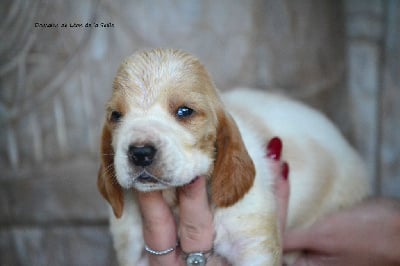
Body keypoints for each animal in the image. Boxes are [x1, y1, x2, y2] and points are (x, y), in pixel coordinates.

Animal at [98, 48, 370, 264]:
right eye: (116, 115)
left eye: (185, 111)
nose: (140, 152)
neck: (173, 202)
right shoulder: (132, 251)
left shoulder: (254, 245)